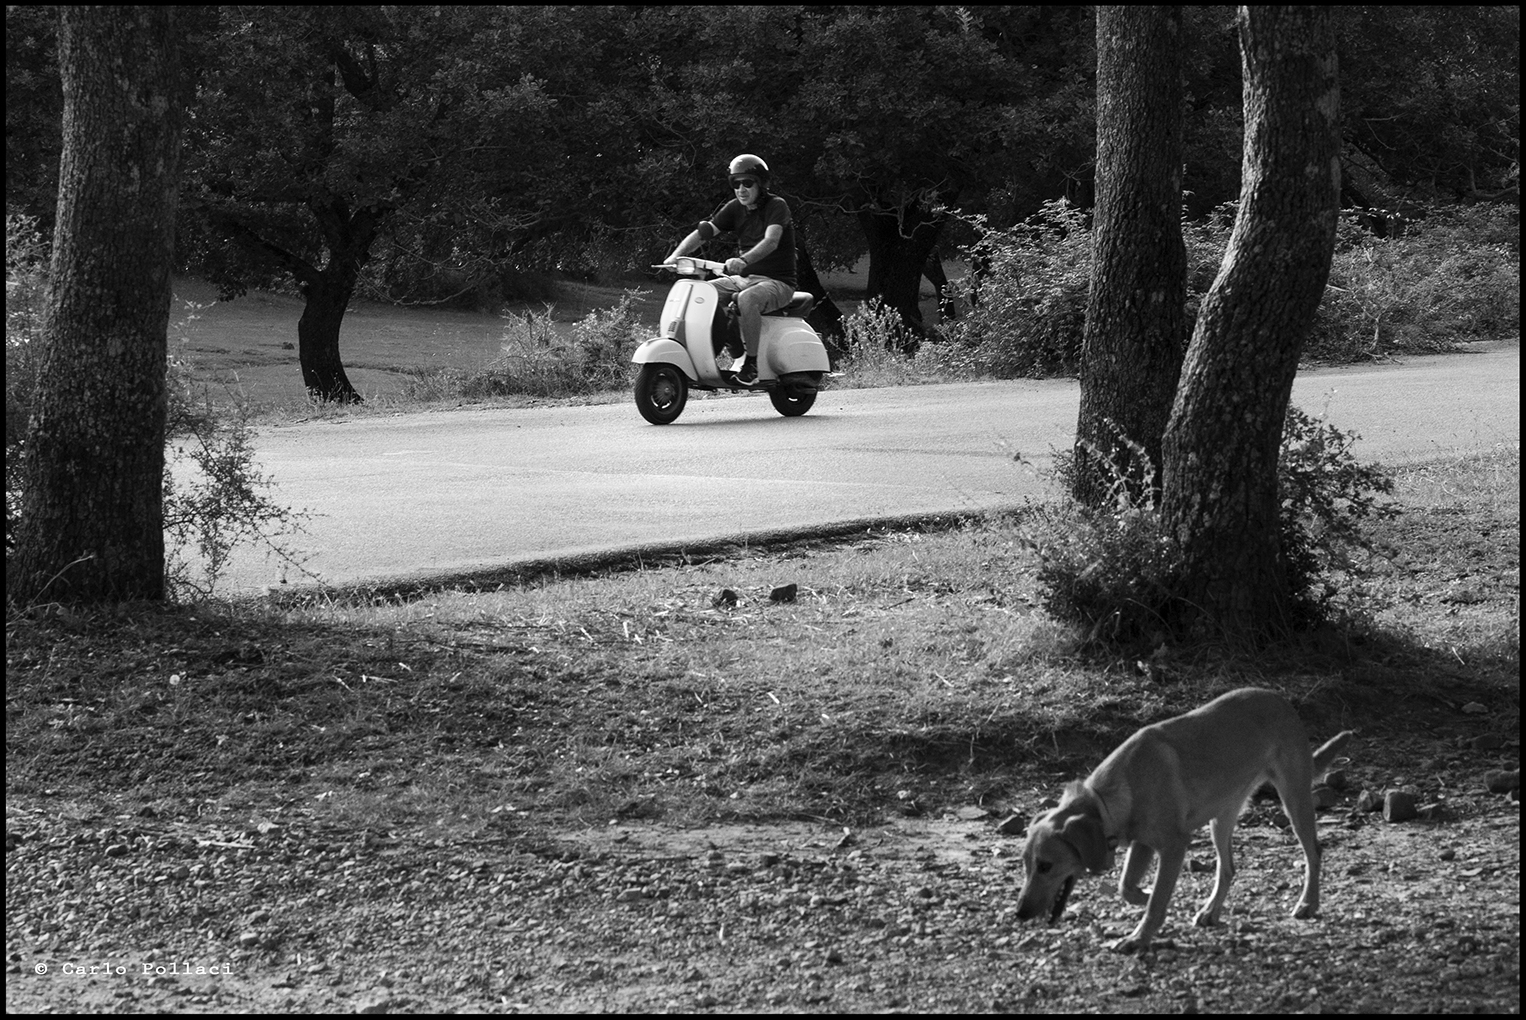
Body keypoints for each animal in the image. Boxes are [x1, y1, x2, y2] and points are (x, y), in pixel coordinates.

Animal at [1019, 690, 1355, 952]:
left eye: (1045, 866)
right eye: (1025, 864)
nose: (1020, 913)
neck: (1109, 797)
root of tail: (1282, 700)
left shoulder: (1173, 847)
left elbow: (1155, 900)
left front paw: (1140, 936)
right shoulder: (1142, 844)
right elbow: (1126, 887)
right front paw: (1144, 898)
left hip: (1294, 802)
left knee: (1314, 852)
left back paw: (1308, 903)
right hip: (1221, 820)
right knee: (1227, 869)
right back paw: (1211, 910)